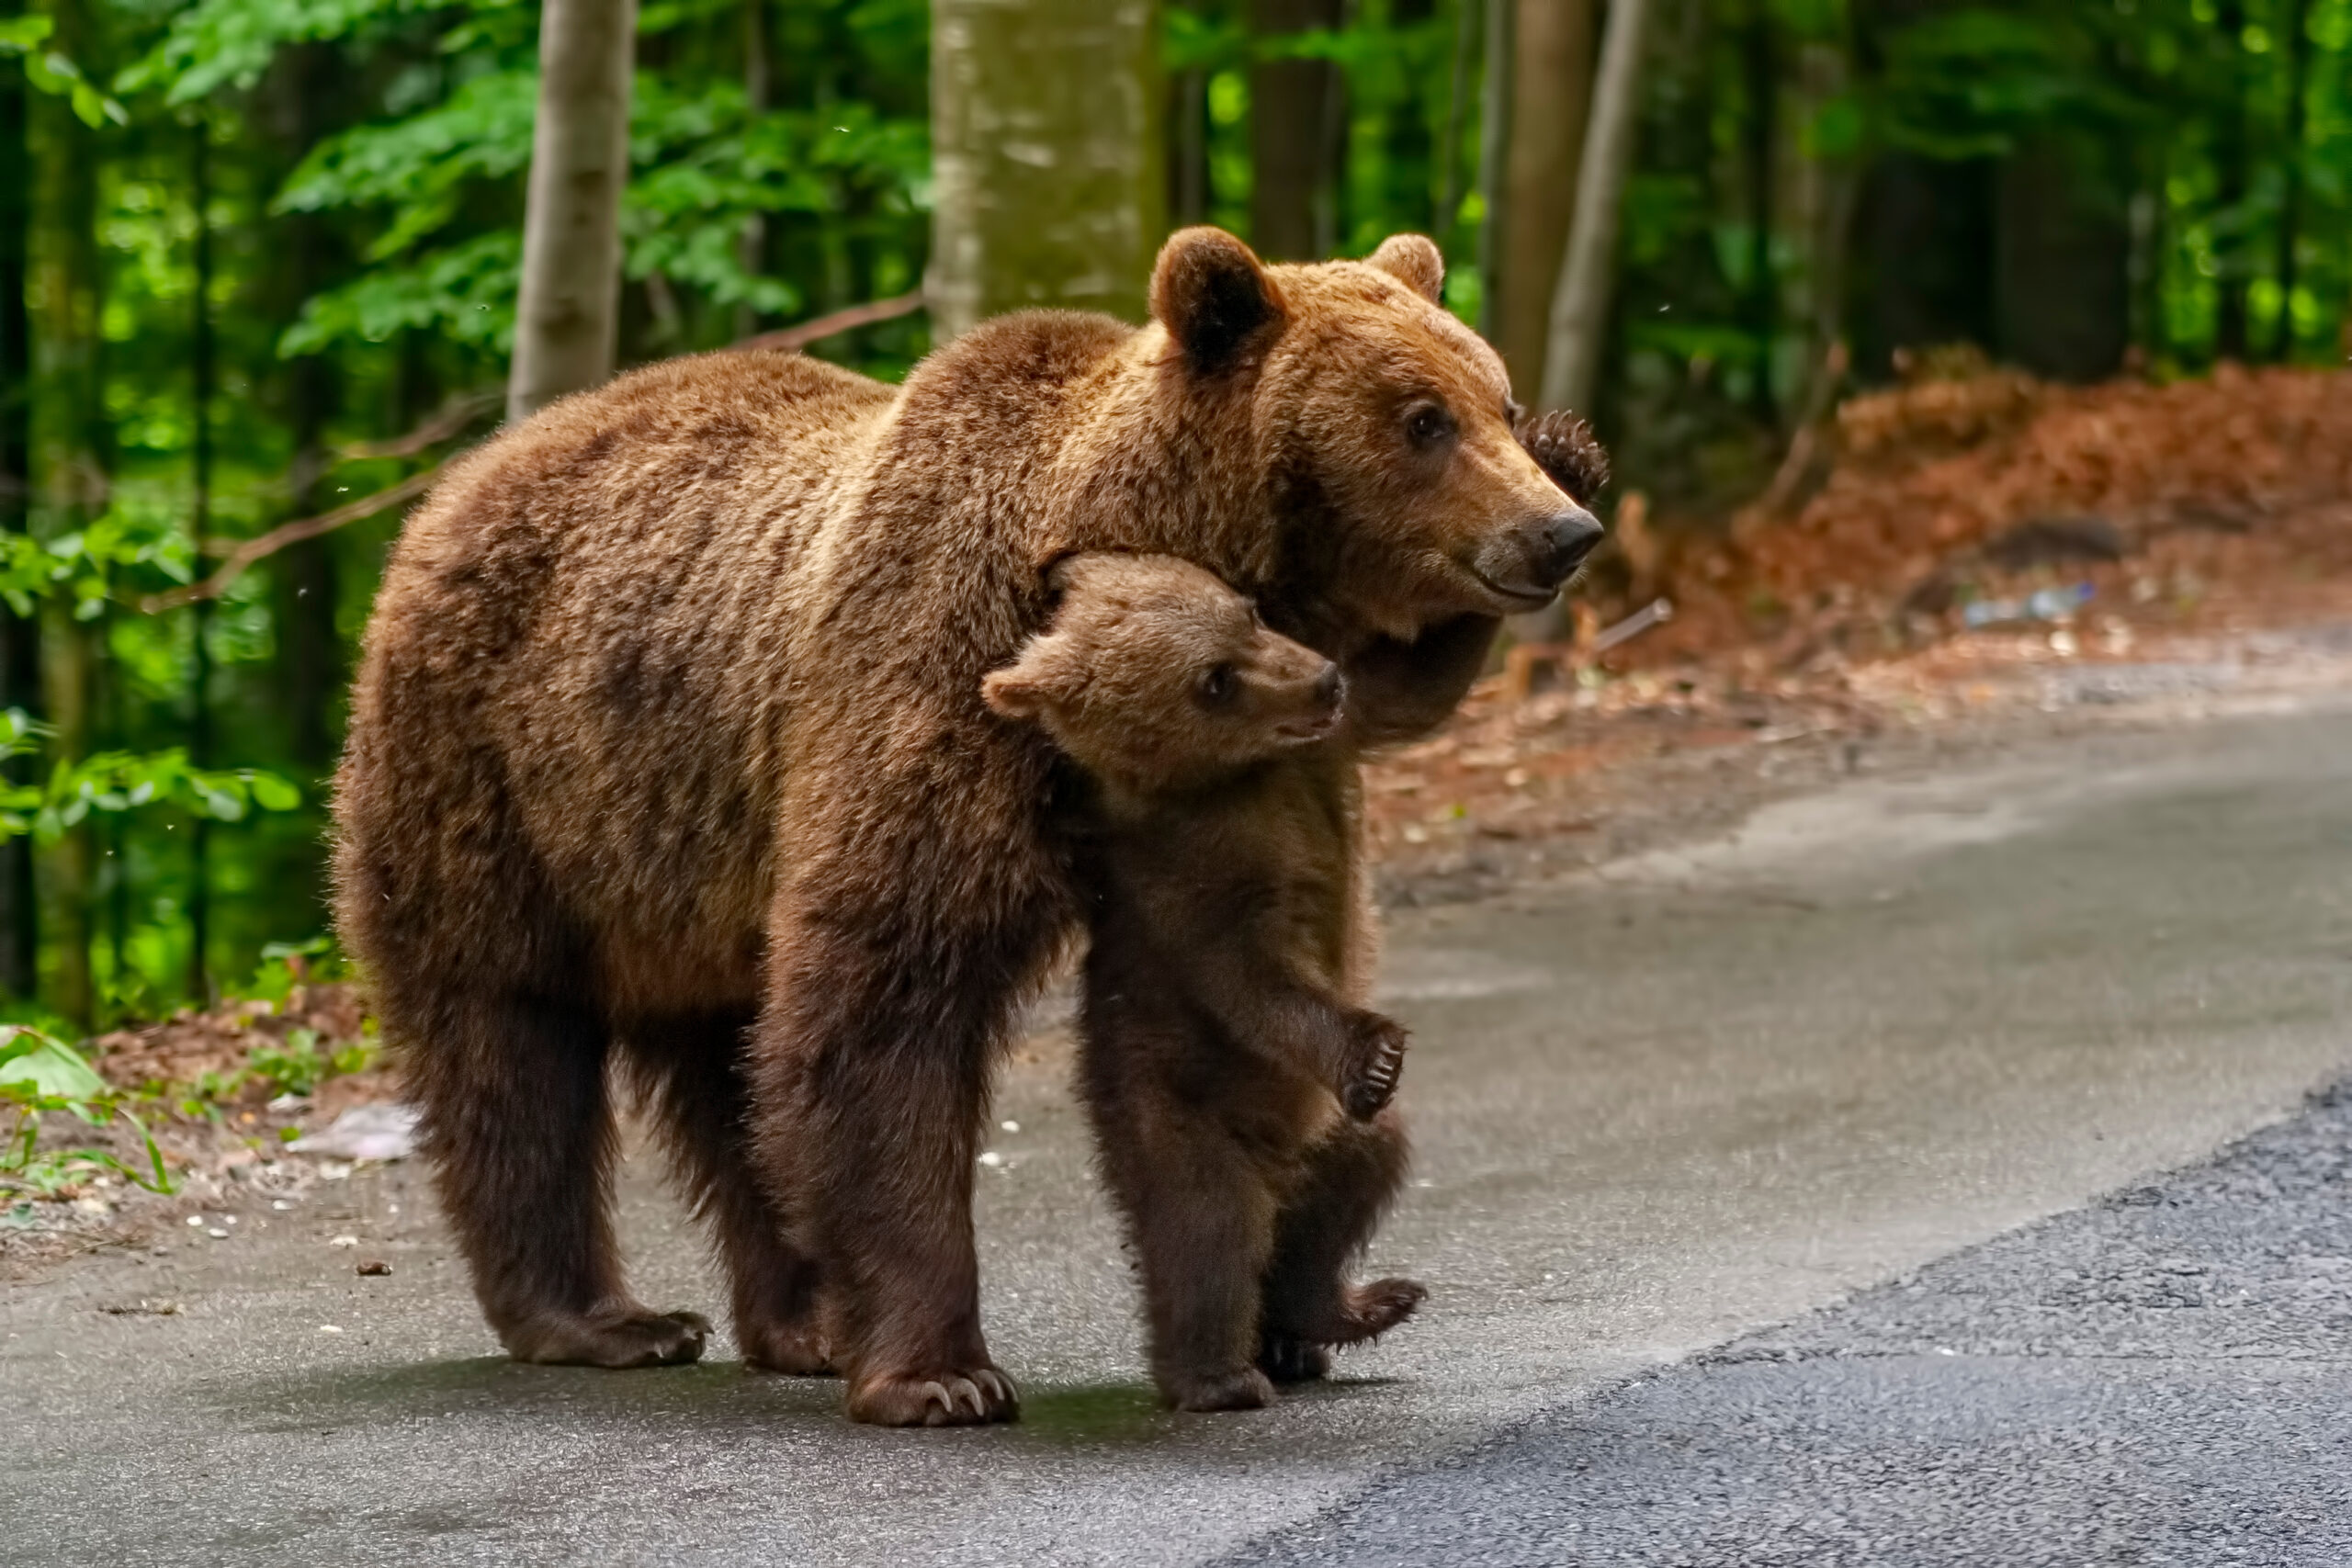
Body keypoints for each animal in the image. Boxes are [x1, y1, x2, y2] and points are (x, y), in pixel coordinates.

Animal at [331, 230, 1609, 1419]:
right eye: (1421, 420)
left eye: (1494, 399)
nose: (1560, 532)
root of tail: (452, 487)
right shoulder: (933, 702)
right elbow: (887, 1007)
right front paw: (941, 1374)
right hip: (498, 794)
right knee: (509, 1045)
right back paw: (604, 1319)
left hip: (690, 862)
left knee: (729, 1064)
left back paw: (804, 1322)